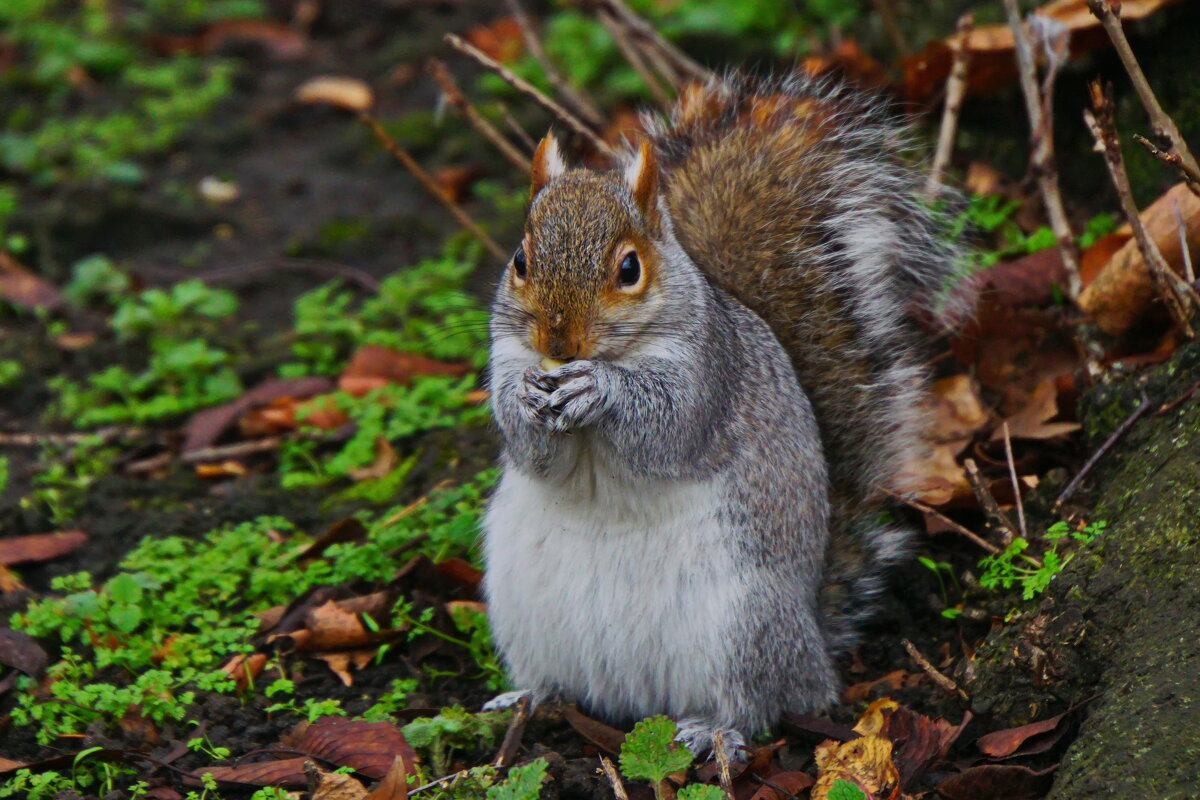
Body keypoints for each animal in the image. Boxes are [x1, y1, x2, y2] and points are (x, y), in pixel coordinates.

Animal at [477, 74, 964, 758]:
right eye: (520, 260)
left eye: (629, 268)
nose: (559, 342)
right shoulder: (508, 355)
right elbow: (529, 449)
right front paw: (526, 397)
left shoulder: (709, 369)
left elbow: (669, 428)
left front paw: (599, 389)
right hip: (524, 609)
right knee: (559, 679)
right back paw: (526, 698)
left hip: (742, 624)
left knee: (763, 702)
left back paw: (714, 729)